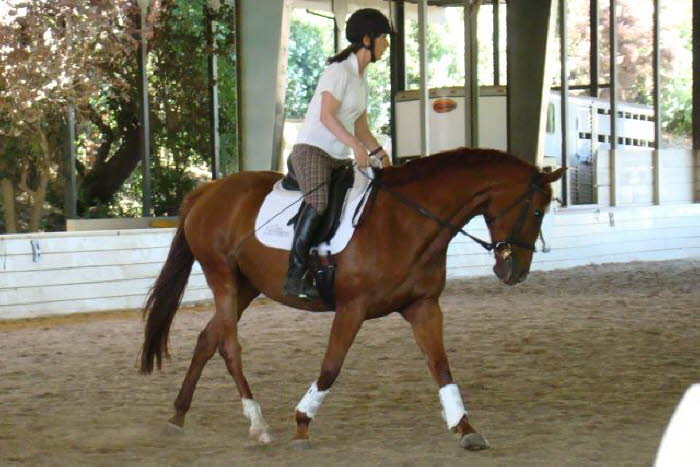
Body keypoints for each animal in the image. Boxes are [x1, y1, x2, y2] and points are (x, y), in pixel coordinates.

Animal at [139, 148, 568, 452]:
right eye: (536, 210)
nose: (514, 273)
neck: (406, 221)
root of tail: (208, 190)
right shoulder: (352, 308)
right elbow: (331, 366)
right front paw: (302, 423)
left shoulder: (423, 307)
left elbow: (441, 367)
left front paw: (465, 428)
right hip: (224, 278)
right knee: (229, 346)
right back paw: (257, 424)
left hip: (246, 286)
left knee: (207, 340)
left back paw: (177, 416)